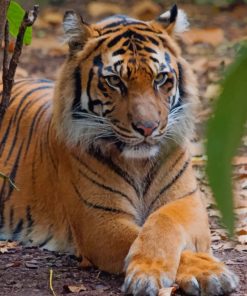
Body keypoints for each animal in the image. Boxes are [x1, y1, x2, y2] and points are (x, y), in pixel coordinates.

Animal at [0, 5, 239, 296]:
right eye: (114, 81)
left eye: (160, 78)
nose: (147, 128)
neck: (139, 164)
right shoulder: (99, 220)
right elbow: (141, 236)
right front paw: (157, 272)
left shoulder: (187, 203)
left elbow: (163, 223)